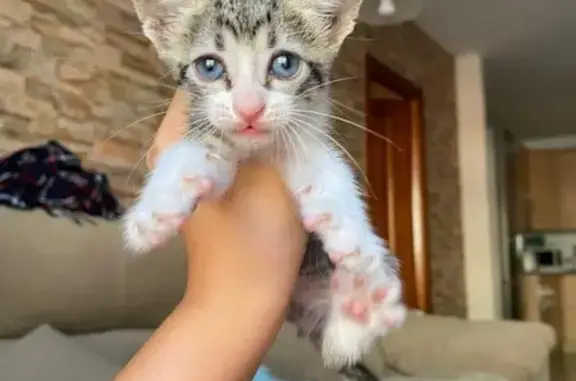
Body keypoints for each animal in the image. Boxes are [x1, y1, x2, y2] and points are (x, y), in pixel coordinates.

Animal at [126, 0, 408, 368]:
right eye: (209, 67)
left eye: (285, 64)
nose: (249, 109)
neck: (259, 151)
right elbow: (198, 150)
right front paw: (159, 205)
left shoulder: (307, 134)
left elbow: (330, 168)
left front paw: (348, 228)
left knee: (337, 346)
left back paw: (359, 307)